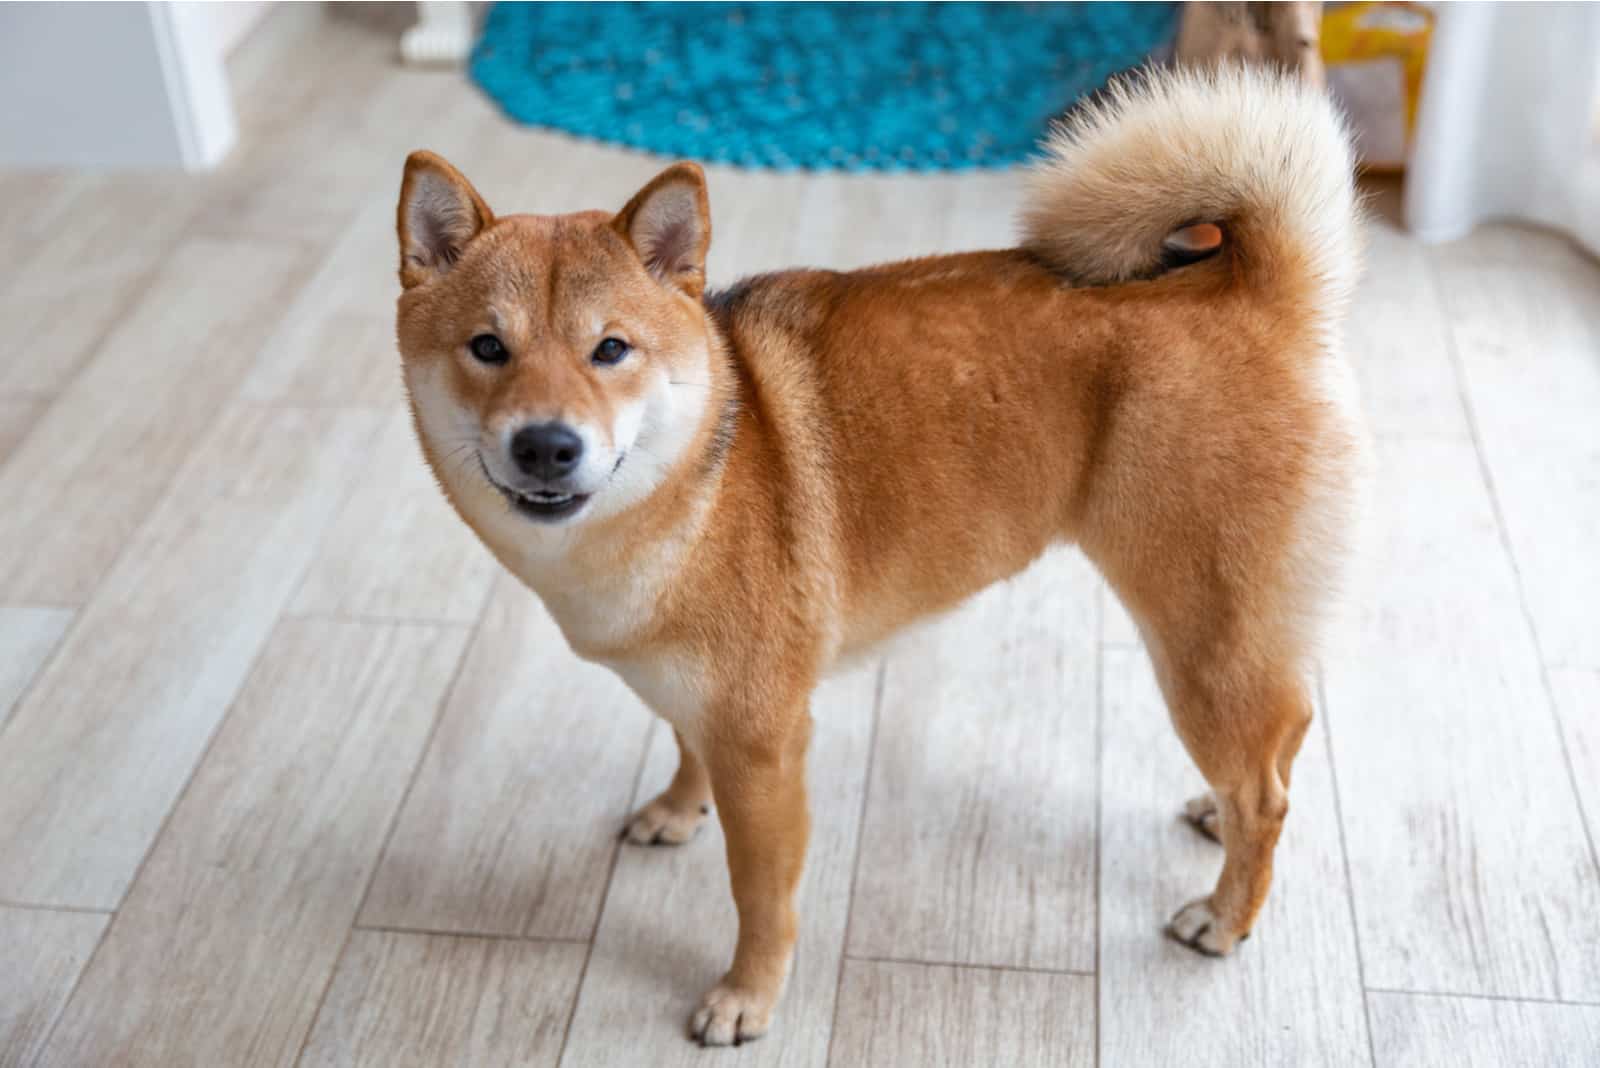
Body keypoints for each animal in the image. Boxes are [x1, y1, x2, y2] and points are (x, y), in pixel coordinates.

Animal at [393, 64, 1369, 1042]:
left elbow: (761, 895)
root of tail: (1250, 286)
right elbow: (683, 746)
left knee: (1267, 790)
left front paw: (747, 996)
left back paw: (1225, 916)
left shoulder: (765, 742)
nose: (546, 445)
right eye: (488, 348)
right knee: (1285, 731)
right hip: (1234, 643)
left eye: (610, 350)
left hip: (1198, 642)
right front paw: (677, 808)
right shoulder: (693, 696)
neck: (688, 493)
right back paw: (1217, 814)